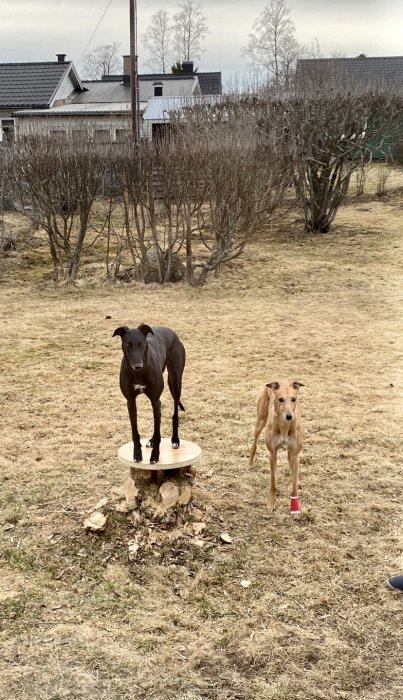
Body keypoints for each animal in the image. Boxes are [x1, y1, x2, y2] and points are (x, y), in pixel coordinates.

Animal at [113, 324, 186, 464]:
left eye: (141, 344)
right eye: (128, 344)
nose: (138, 366)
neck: (138, 374)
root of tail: (172, 332)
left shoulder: (155, 399)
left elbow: (157, 432)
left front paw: (155, 456)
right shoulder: (131, 402)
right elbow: (135, 430)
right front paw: (137, 454)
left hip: (175, 382)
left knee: (175, 413)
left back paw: (175, 439)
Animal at [248, 380, 304, 512]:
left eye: (294, 399)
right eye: (280, 399)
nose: (289, 416)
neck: (284, 426)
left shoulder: (295, 454)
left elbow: (294, 484)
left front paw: (295, 506)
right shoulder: (273, 454)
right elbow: (273, 481)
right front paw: (271, 502)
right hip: (260, 421)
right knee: (254, 444)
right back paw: (250, 463)